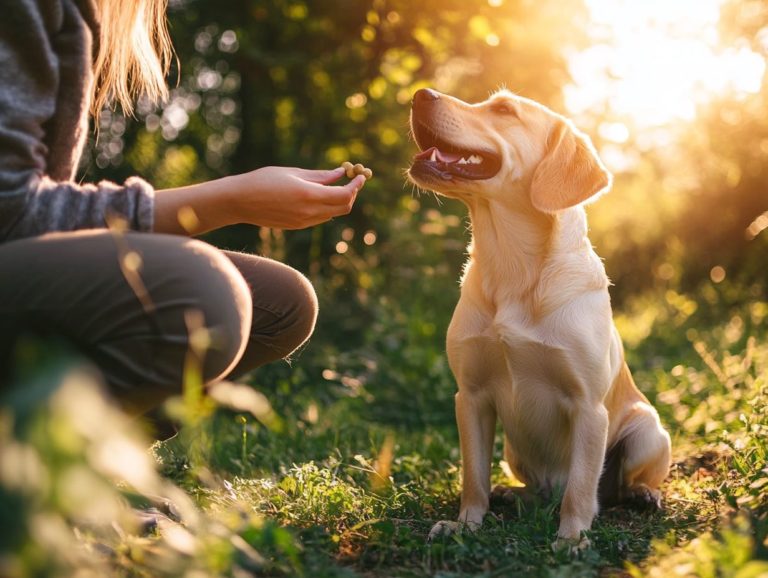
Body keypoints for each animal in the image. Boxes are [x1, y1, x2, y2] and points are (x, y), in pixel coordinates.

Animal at [408, 88, 672, 548]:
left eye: (503, 109)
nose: (420, 93)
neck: (513, 267)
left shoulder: (588, 406)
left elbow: (582, 487)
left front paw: (572, 539)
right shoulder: (470, 397)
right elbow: (473, 477)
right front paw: (466, 524)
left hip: (648, 429)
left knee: (614, 484)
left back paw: (642, 494)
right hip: (515, 452)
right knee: (534, 489)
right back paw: (511, 495)